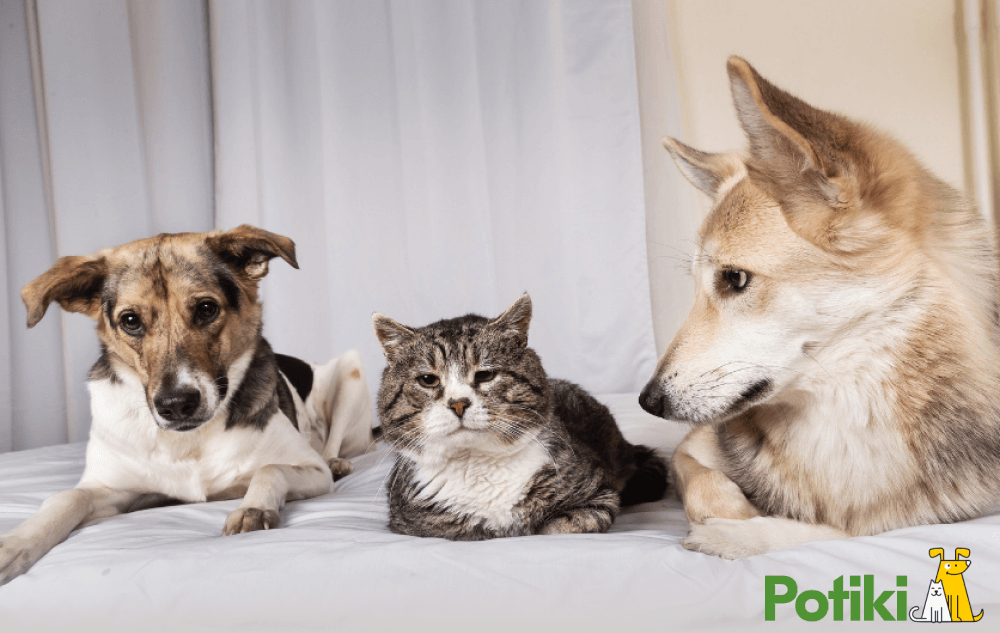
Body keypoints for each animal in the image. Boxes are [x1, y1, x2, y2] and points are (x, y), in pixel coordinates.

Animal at [0, 225, 374, 584]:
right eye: (130, 321)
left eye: (206, 309)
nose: (177, 404)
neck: (188, 440)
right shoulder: (121, 490)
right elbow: (68, 496)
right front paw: (16, 543)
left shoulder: (311, 469)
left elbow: (270, 469)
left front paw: (253, 508)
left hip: (351, 369)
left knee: (334, 445)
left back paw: (338, 462)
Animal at [372, 292, 668, 540]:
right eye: (428, 380)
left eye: (485, 375)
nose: (458, 404)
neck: (477, 464)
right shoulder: (414, 527)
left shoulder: (599, 496)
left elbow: (558, 528)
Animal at [640, 56, 1000, 556]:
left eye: (734, 278)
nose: (647, 402)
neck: (843, 406)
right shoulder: (688, 449)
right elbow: (704, 485)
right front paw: (736, 514)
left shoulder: (941, 513)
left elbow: (841, 530)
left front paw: (742, 533)